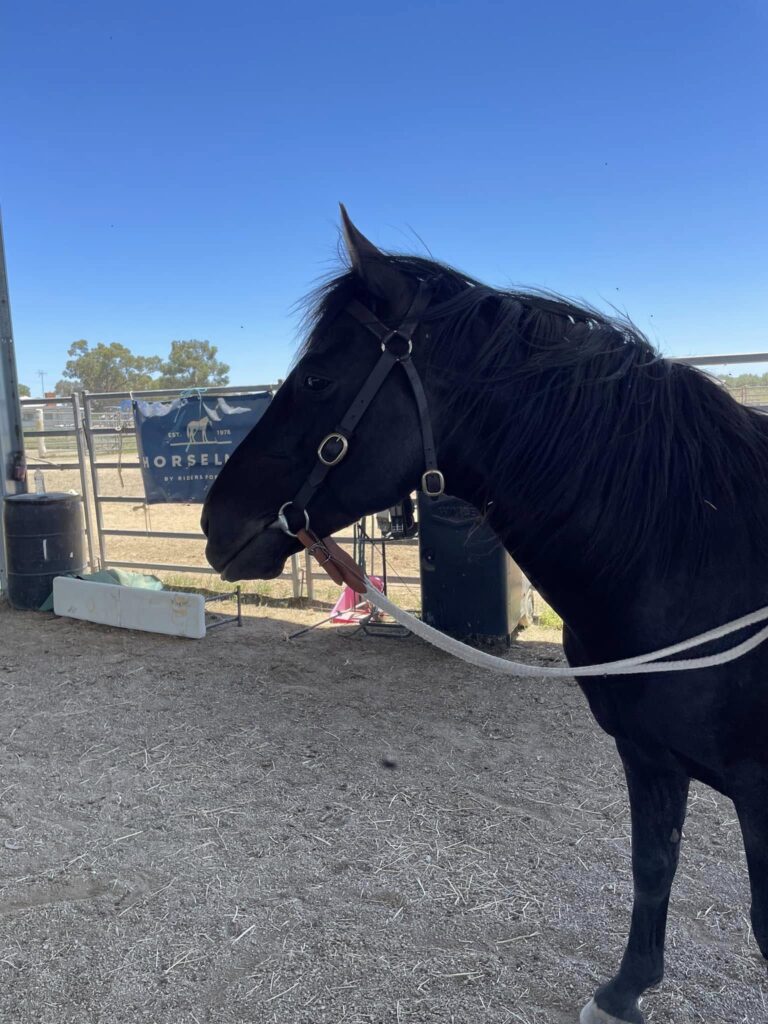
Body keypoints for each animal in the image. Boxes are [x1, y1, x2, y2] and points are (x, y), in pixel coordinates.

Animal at [201, 207, 765, 1024]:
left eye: (315, 378)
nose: (212, 523)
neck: (702, 555)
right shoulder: (649, 755)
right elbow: (653, 863)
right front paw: (624, 991)